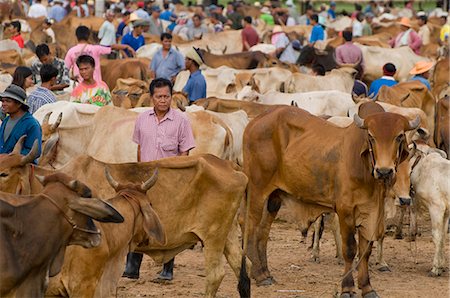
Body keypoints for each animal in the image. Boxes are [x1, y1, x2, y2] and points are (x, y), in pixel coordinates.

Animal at [241, 103, 420, 296]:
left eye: (399, 136)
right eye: (371, 136)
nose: (384, 171)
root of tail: (254, 122)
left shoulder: (371, 211)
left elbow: (365, 251)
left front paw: (367, 287)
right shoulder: (345, 210)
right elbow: (350, 249)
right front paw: (347, 288)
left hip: (274, 197)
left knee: (263, 232)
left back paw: (265, 273)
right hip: (257, 191)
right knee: (250, 229)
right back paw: (259, 275)